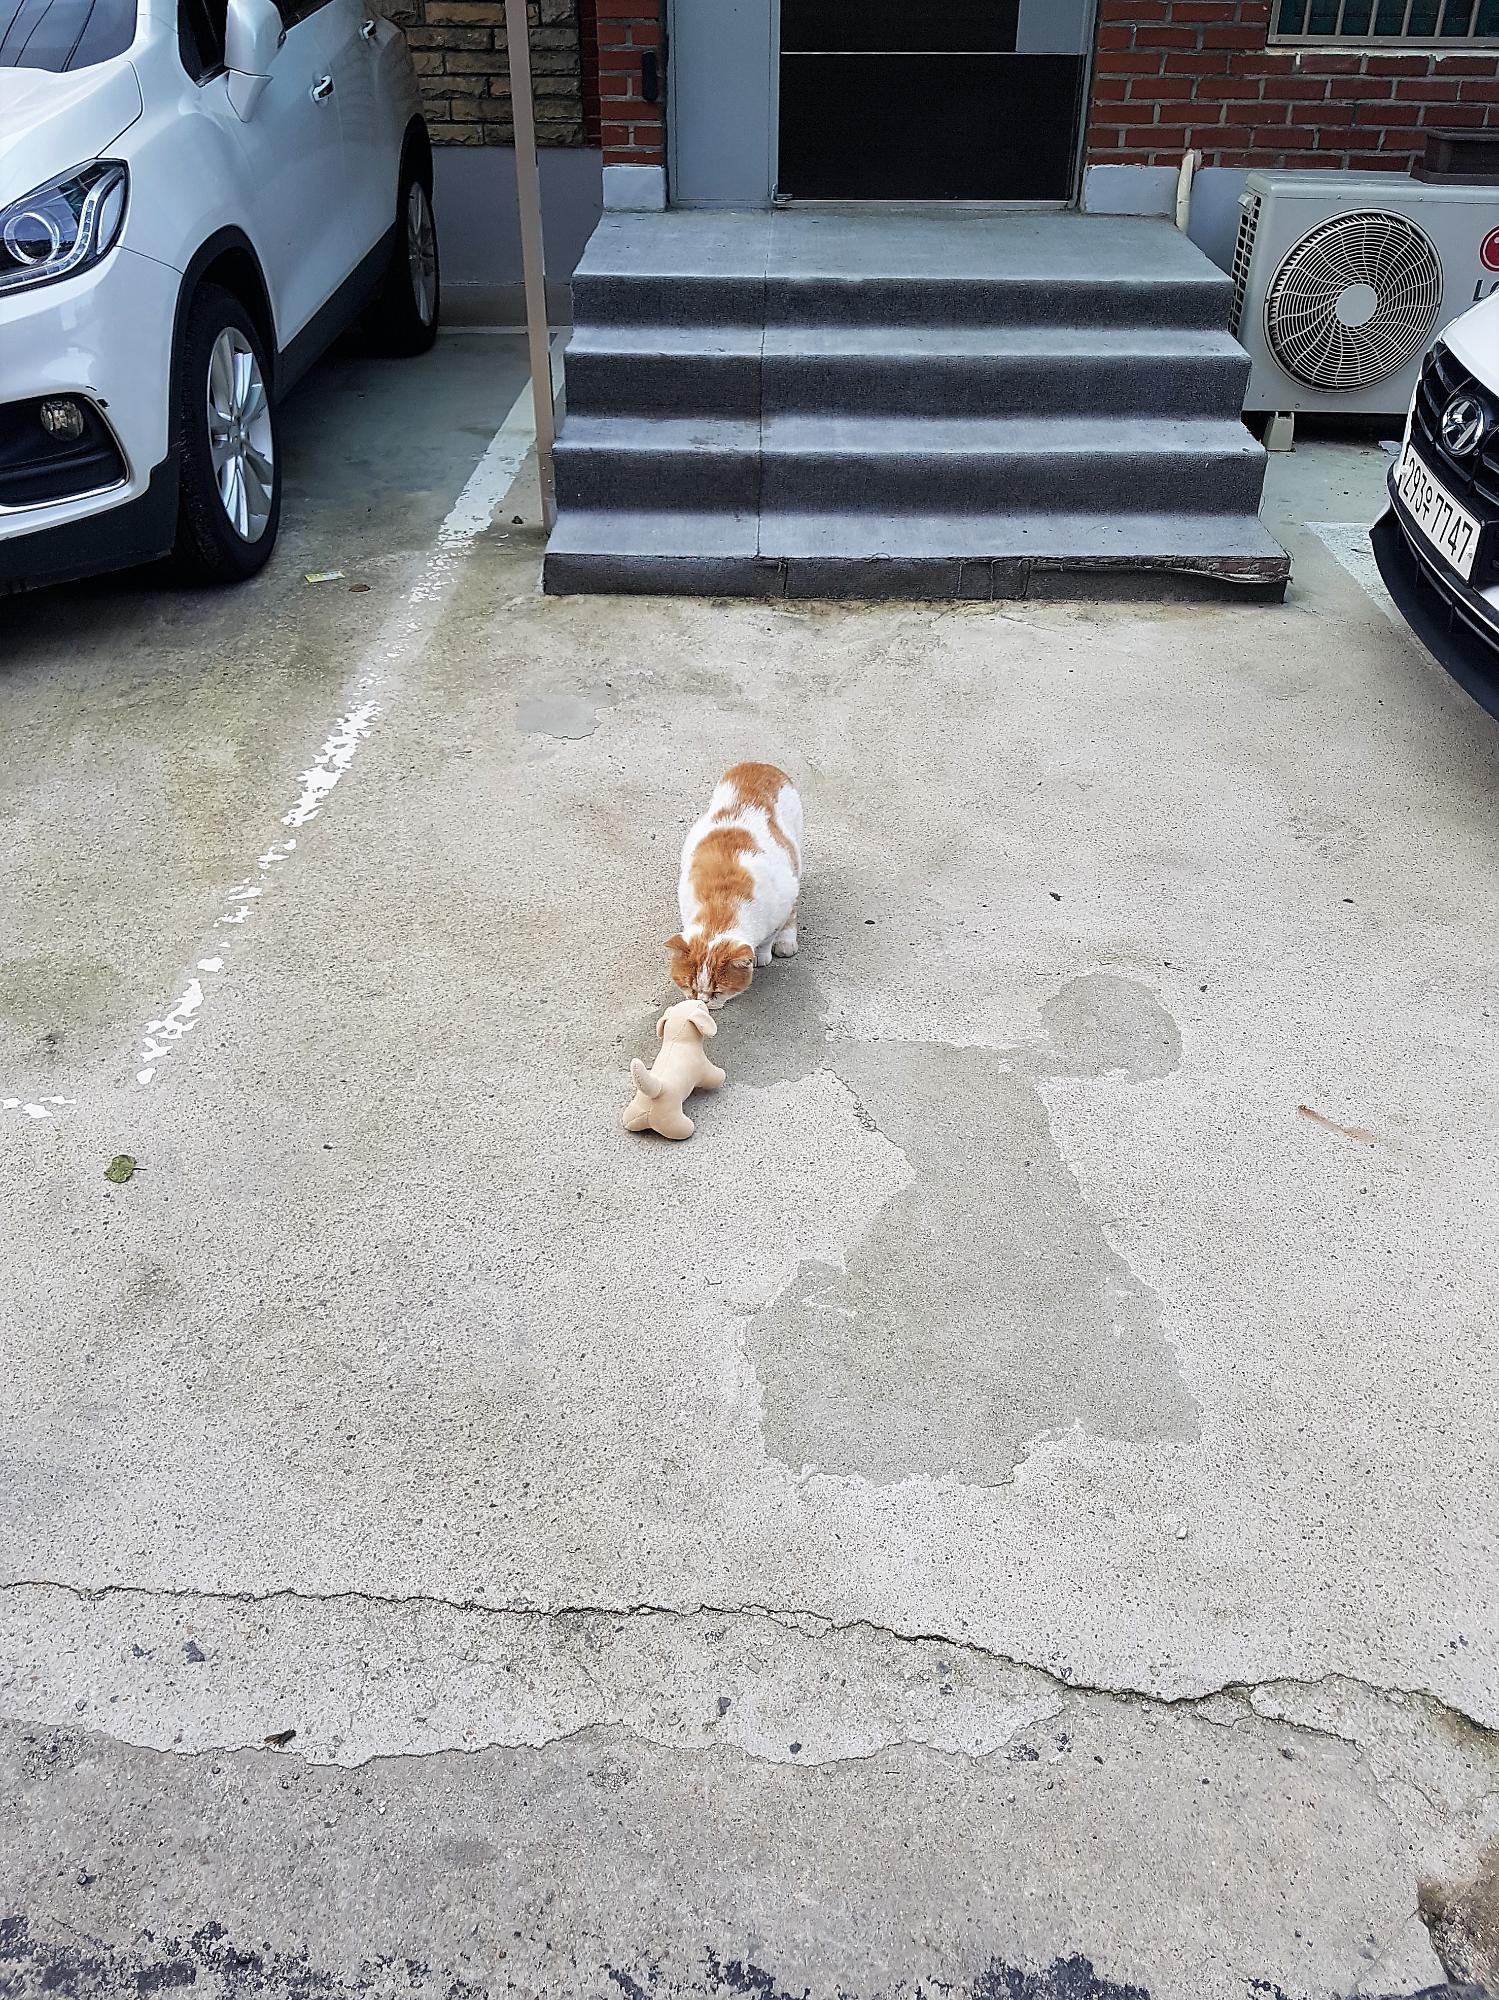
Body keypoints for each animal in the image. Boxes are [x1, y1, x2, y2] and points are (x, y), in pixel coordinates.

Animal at [667, 762, 802, 1010]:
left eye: (717, 992)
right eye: (689, 986)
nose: (701, 1001)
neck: (723, 904)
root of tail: (759, 764)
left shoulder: (782, 898)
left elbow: (769, 936)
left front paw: (761, 955)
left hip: (795, 857)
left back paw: (786, 942)